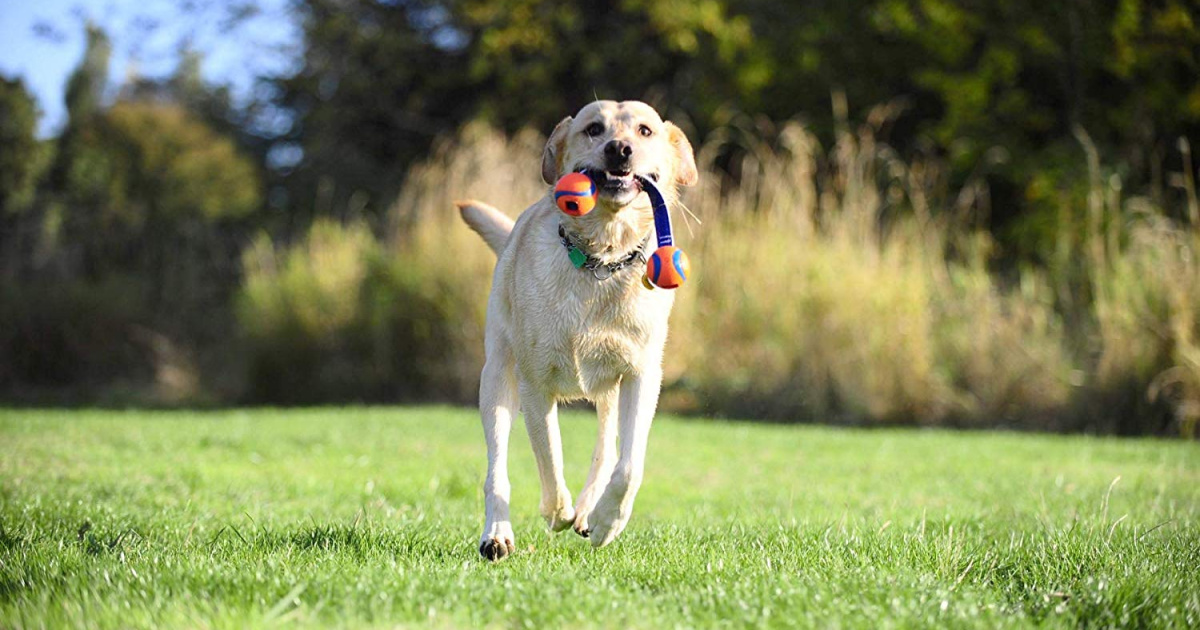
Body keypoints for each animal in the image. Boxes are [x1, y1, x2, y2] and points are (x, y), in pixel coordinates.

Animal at [456, 99, 700, 559]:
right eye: (593, 128)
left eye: (644, 130)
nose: (619, 149)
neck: (601, 259)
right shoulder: (535, 384)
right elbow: (549, 456)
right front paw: (558, 512)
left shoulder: (641, 376)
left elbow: (629, 464)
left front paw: (606, 521)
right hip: (496, 379)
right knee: (497, 470)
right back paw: (498, 533)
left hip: (608, 393)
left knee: (606, 452)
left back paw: (589, 511)